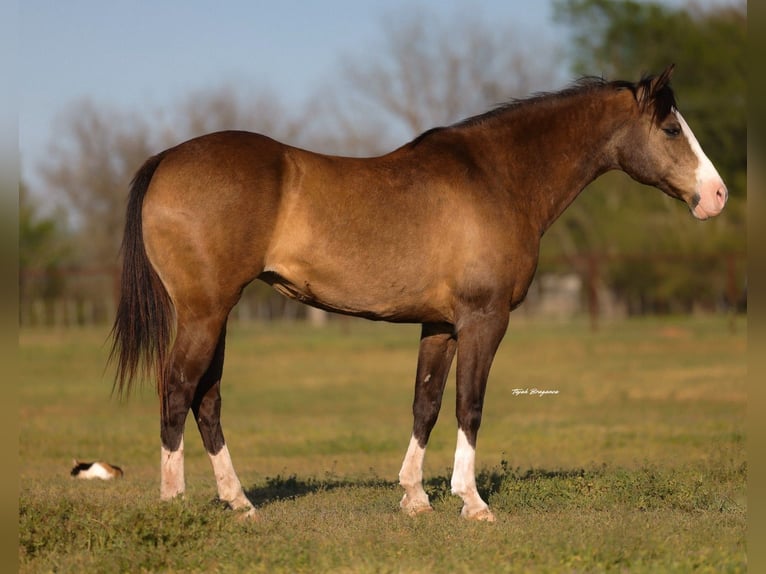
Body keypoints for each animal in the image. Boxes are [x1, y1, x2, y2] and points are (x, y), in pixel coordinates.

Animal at [109, 65, 727, 522]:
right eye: (672, 130)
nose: (716, 195)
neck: (498, 177)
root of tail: (166, 159)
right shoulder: (483, 320)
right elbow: (469, 404)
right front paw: (472, 502)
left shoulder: (440, 325)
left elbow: (425, 403)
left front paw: (415, 497)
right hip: (204, 313)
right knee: (177, 390)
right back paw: (174, 502)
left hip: (215, 316)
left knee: (206, 399)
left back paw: (239, 502)